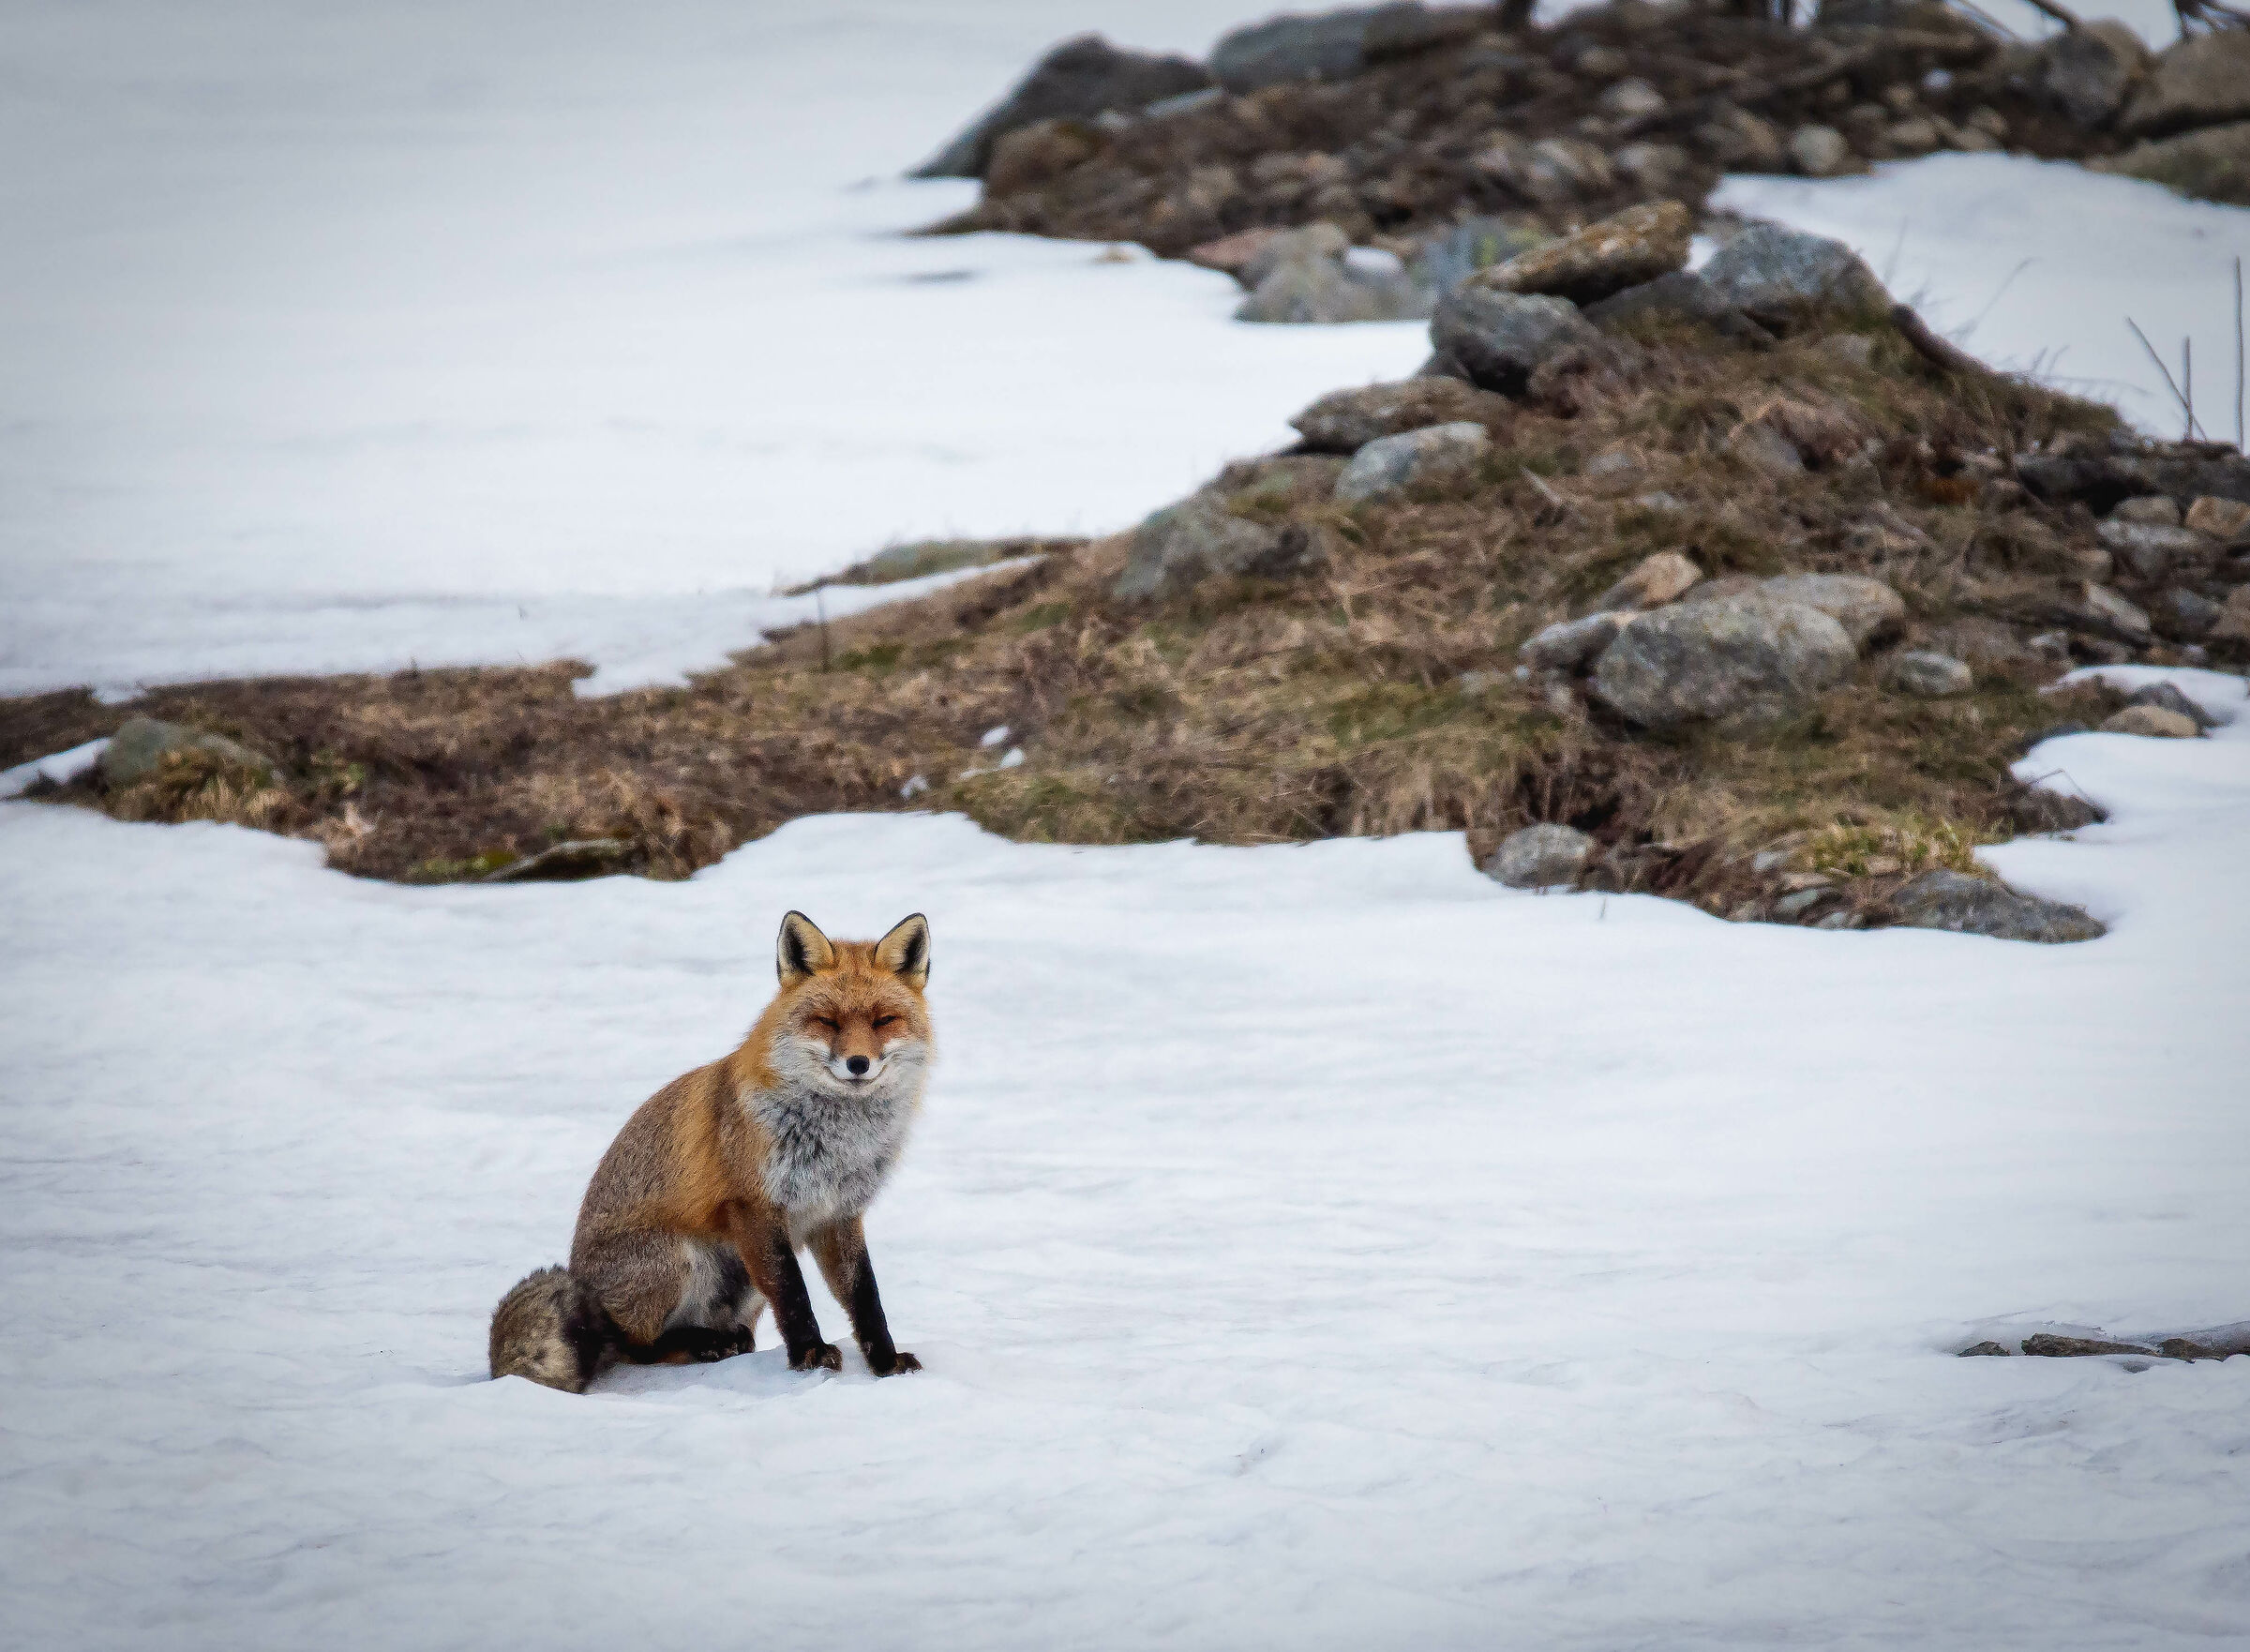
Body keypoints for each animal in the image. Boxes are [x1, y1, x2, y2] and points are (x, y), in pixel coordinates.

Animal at [488, 910, 933, 1392]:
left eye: (884, 1020)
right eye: (827, 1022)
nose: (858, 1064)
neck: (838, 1140)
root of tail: (585, 1287)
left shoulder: (838, 1214)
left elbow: (866, 1299)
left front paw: (885, 1362)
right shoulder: (754, 1206)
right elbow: (793, 1294)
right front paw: (809, 1355)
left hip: (740, 1280)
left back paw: (725, 1341)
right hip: (682, 1260)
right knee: (635, 1347)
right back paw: (701, 1345)